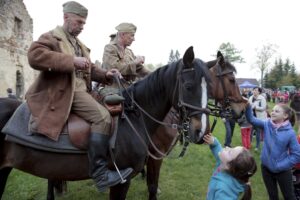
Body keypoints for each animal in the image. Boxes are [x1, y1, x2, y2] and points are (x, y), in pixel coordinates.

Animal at [0, 46, 211, 199]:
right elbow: (151, 187)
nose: (201, 131)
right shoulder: (123, 180)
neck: (134, 119)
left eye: (209, 87)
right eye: (188, 86)